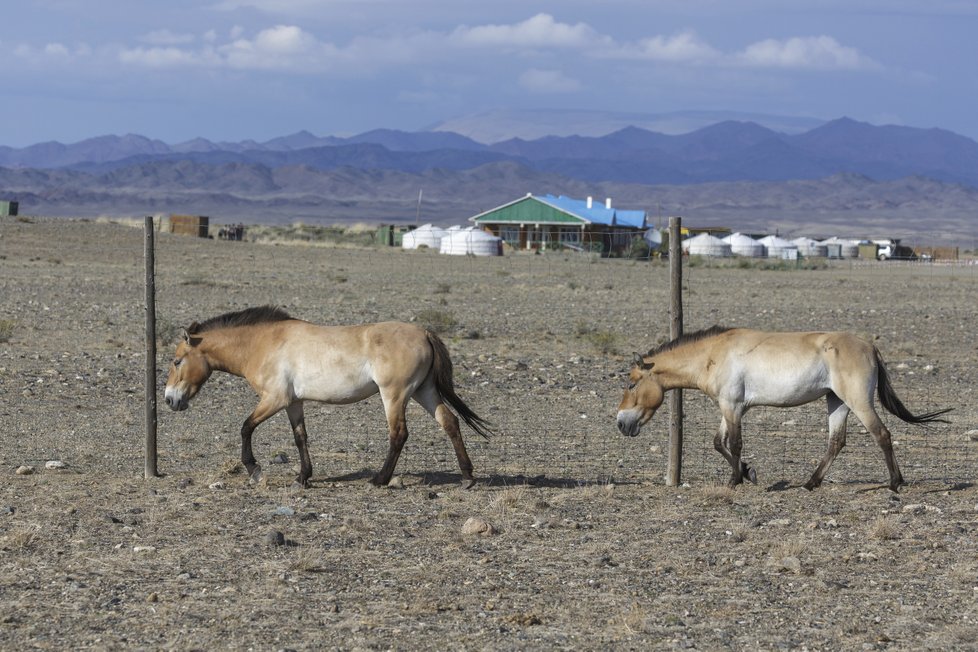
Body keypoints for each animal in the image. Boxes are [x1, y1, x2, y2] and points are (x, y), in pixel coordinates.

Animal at [166, 308, 496, 486]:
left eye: (177, 361)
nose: (170, 400)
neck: (262, 343)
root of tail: (424, 332)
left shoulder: (274, 399)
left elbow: (246, 427)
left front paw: (255, 470)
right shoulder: (293, 403)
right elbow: (300, 437)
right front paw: (303, 477)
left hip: (395, 394)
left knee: (399, 434)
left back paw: (380, 479)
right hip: (423, 391)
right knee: (450, 422)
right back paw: (467, 477)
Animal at [616, 328, 944, 492]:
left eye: (631, 384)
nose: (620, 423)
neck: (713, 354)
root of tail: (870, 347)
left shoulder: (732, 406)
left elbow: (734, 443)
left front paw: (736, 480)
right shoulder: (730, 407)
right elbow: (719, 443)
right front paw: (747, 472)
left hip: (858, 401)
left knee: (882, 435)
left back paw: (895, 484)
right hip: (836, 402)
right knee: (836, 442)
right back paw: (811, 483)